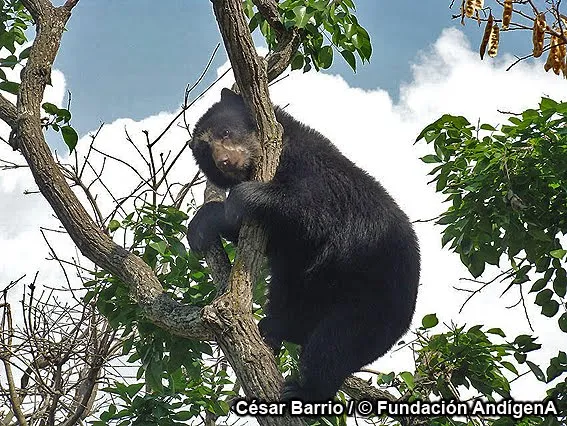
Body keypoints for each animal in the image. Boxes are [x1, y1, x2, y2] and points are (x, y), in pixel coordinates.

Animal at [189, 88, 420, 402]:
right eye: (206, 152)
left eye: (226, 132)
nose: (224, 161)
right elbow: (276, 239)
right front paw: (199, 226)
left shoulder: (313, 166)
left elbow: (311, 209)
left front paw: (243, 197)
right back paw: (273, 327)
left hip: (373, 300)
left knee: (335, 343)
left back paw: (304, 389)